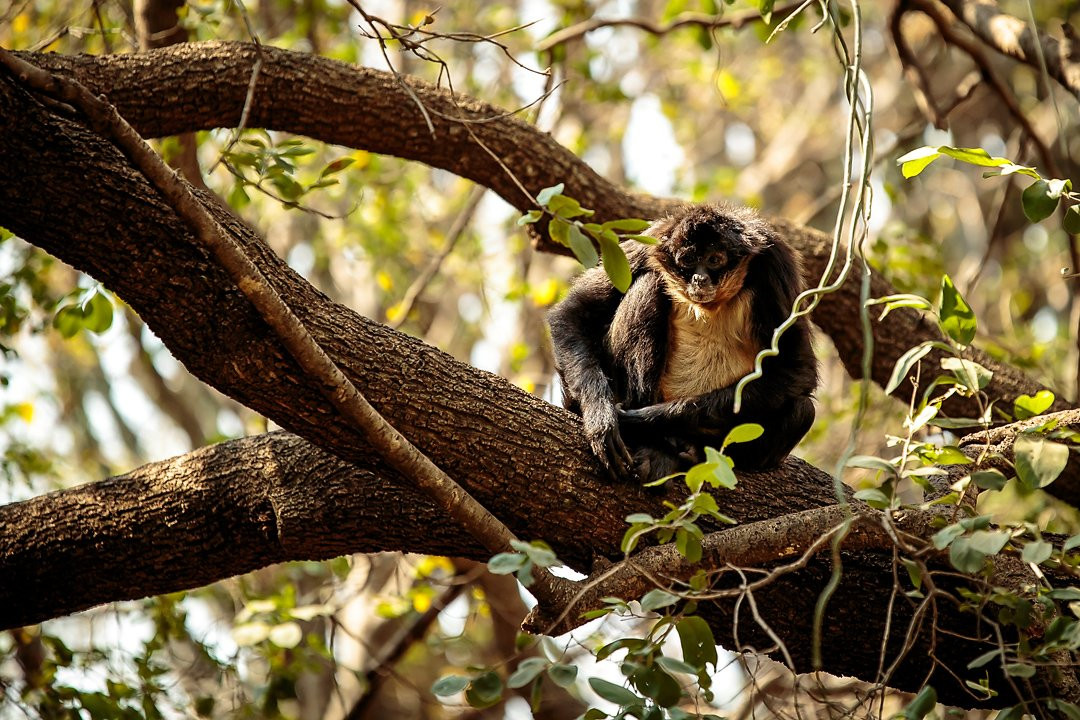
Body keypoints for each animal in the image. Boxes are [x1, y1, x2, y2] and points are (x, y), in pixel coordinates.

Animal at [547, 203, 817, 482]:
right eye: (688, 261)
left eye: (714, 260)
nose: (699, 279)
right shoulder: (651, 241)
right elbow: (574, 311)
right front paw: (600, 418)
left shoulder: (775, 260)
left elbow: (797, 369)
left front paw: (642, 420)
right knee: (649, 283)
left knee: (802, 409)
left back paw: (683, 448)